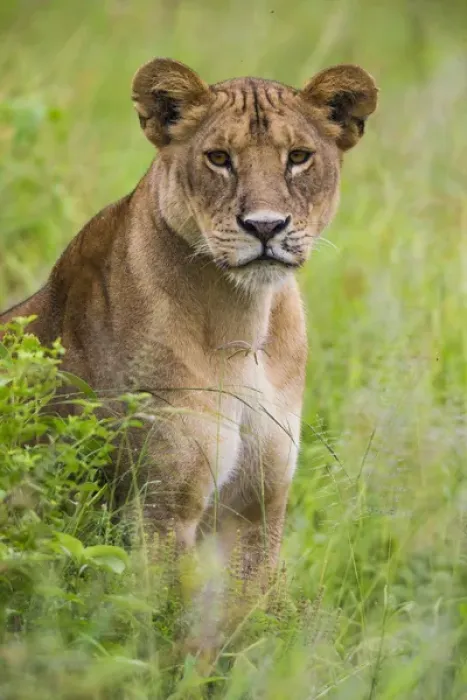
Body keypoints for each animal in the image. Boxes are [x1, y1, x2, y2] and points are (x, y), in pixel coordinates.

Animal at [0, 59, 377, 594]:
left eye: (299, 157)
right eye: (219, 158)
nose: (265, 227)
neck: (246, 323)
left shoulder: (257, 508)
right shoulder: (159, 508)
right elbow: (161, 610)